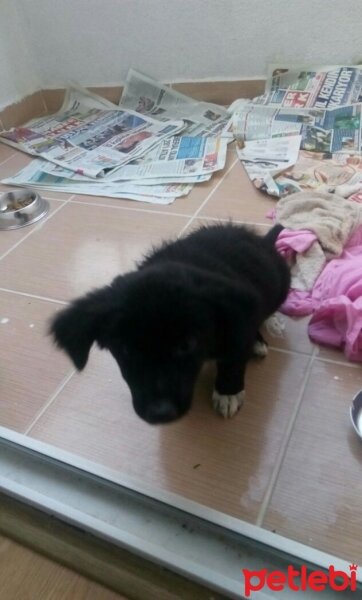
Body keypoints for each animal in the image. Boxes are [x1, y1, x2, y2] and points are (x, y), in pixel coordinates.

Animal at [50, 223, 288, 424]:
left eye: (187, 345)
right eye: (125, 349)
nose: (160, 413)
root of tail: (261, 240)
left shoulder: (237, 321)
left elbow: (233, 359)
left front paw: (228, 392)